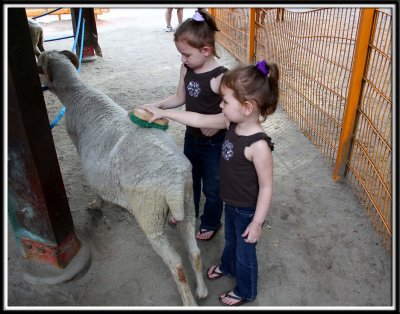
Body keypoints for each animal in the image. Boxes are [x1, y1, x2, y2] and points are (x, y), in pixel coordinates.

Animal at [36, 50, 209, 306]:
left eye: (39, 65)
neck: (77, 93)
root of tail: (174, 184)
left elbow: (94, 185)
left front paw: (96, 204)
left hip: (150, 214)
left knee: (176, 263)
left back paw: (189, 301)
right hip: (187, 204)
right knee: (194, 252)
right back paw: (202, 291)